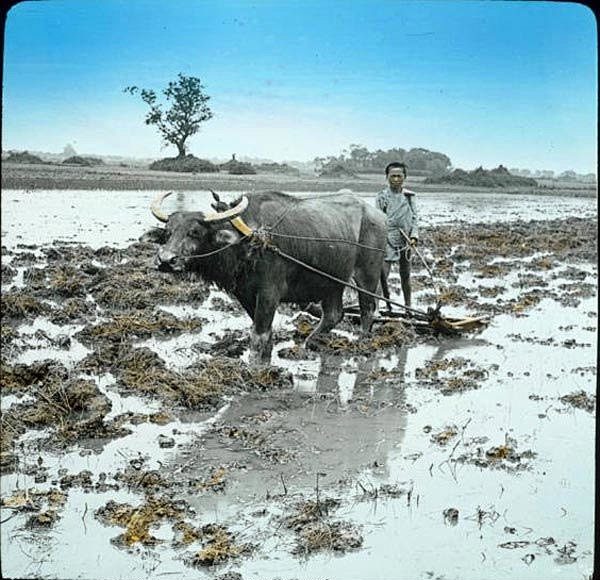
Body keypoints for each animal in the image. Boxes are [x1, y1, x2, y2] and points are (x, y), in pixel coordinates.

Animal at [152, 190, 386, 362]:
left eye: (194, 232)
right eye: (168, 232)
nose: (166, 260)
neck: (249, 241)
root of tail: (377, 215)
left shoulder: (269, 293)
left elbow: (259, 334)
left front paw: (253, 366)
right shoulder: (245, 294)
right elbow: (265, 333)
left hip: (367, 274)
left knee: (368, 309)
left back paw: (362, 342)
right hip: (332, 282)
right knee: (334, 314)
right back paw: (310, 343)